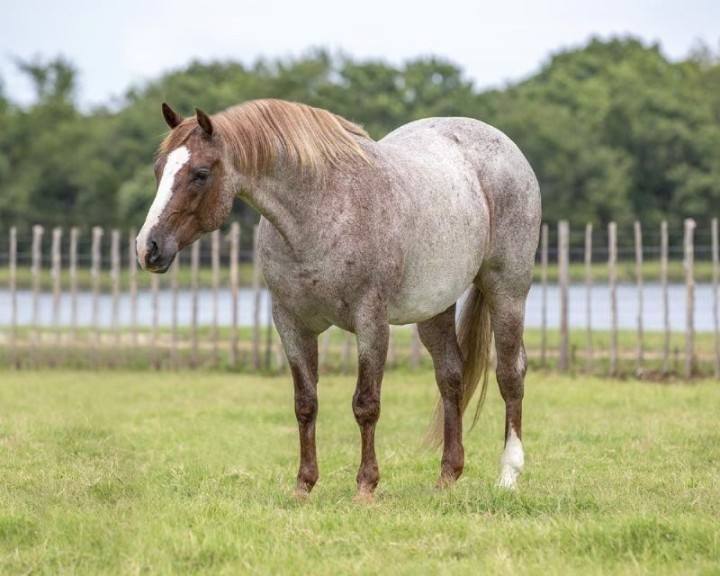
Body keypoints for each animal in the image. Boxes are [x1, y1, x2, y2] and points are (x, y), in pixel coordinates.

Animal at [136, 99, 541, 500]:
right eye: (158, 168)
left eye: (200, 173)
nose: (147, 247)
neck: (321, 210)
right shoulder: (290, 323)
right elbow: (305, 403)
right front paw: (304, 484)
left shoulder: (371, 322)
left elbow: (366, 404)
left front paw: (366, 486)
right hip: (435, 308)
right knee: (451, 376)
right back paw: (447, 476)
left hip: (506, 291)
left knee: (510, 375)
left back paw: (508, 475)